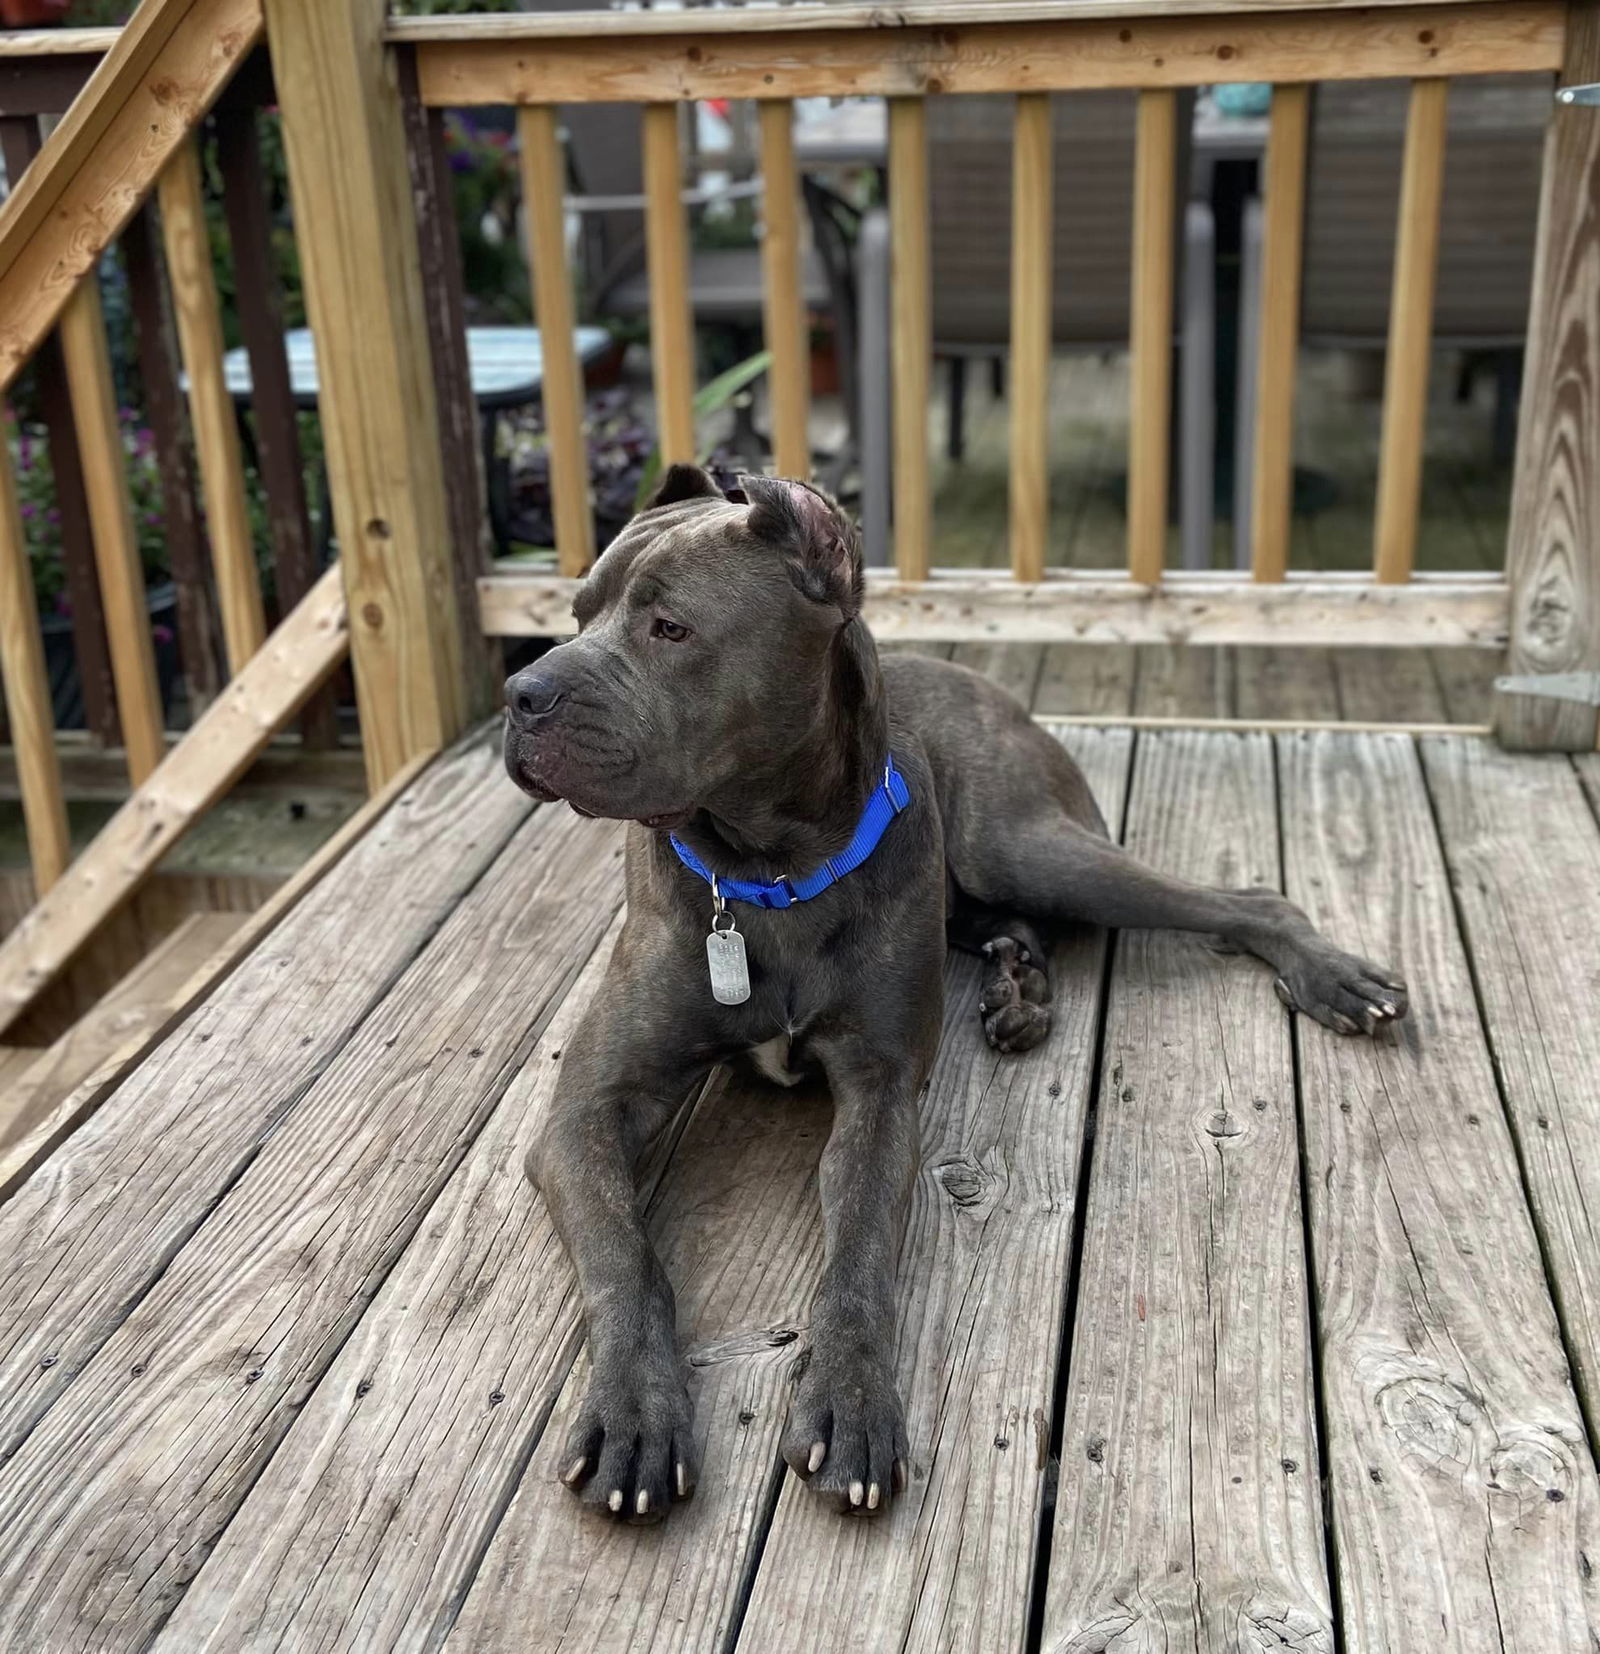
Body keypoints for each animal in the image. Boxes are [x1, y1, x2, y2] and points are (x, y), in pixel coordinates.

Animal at [502, 466, 1416, 1521]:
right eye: (577, 613)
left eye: (671, 628)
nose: (521, 693)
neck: (766, 872)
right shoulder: (587, 1111)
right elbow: (625, 1257)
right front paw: (637, 1410)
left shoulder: (879, 1095)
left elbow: (859, 1249)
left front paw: (850, 1399)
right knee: (1009, 925)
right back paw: (1018, 990)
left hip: (1025, 844)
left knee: (1240, 899)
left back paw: (1330, 976)